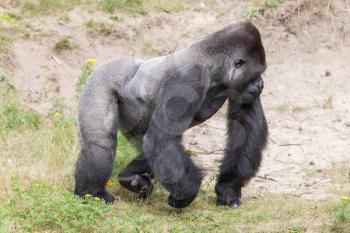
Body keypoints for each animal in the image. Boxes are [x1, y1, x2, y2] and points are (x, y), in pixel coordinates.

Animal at [74, 20, 268, 208]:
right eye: (256, 74)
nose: (261, 84)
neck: (212, 65)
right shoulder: (190, 76)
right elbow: (162, 138)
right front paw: (186, 195)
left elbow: (245, 132)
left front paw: (228, 189)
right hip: (99, 82)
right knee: (100, 144)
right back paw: (91, 193)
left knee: (151, 147)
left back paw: (129, 178)